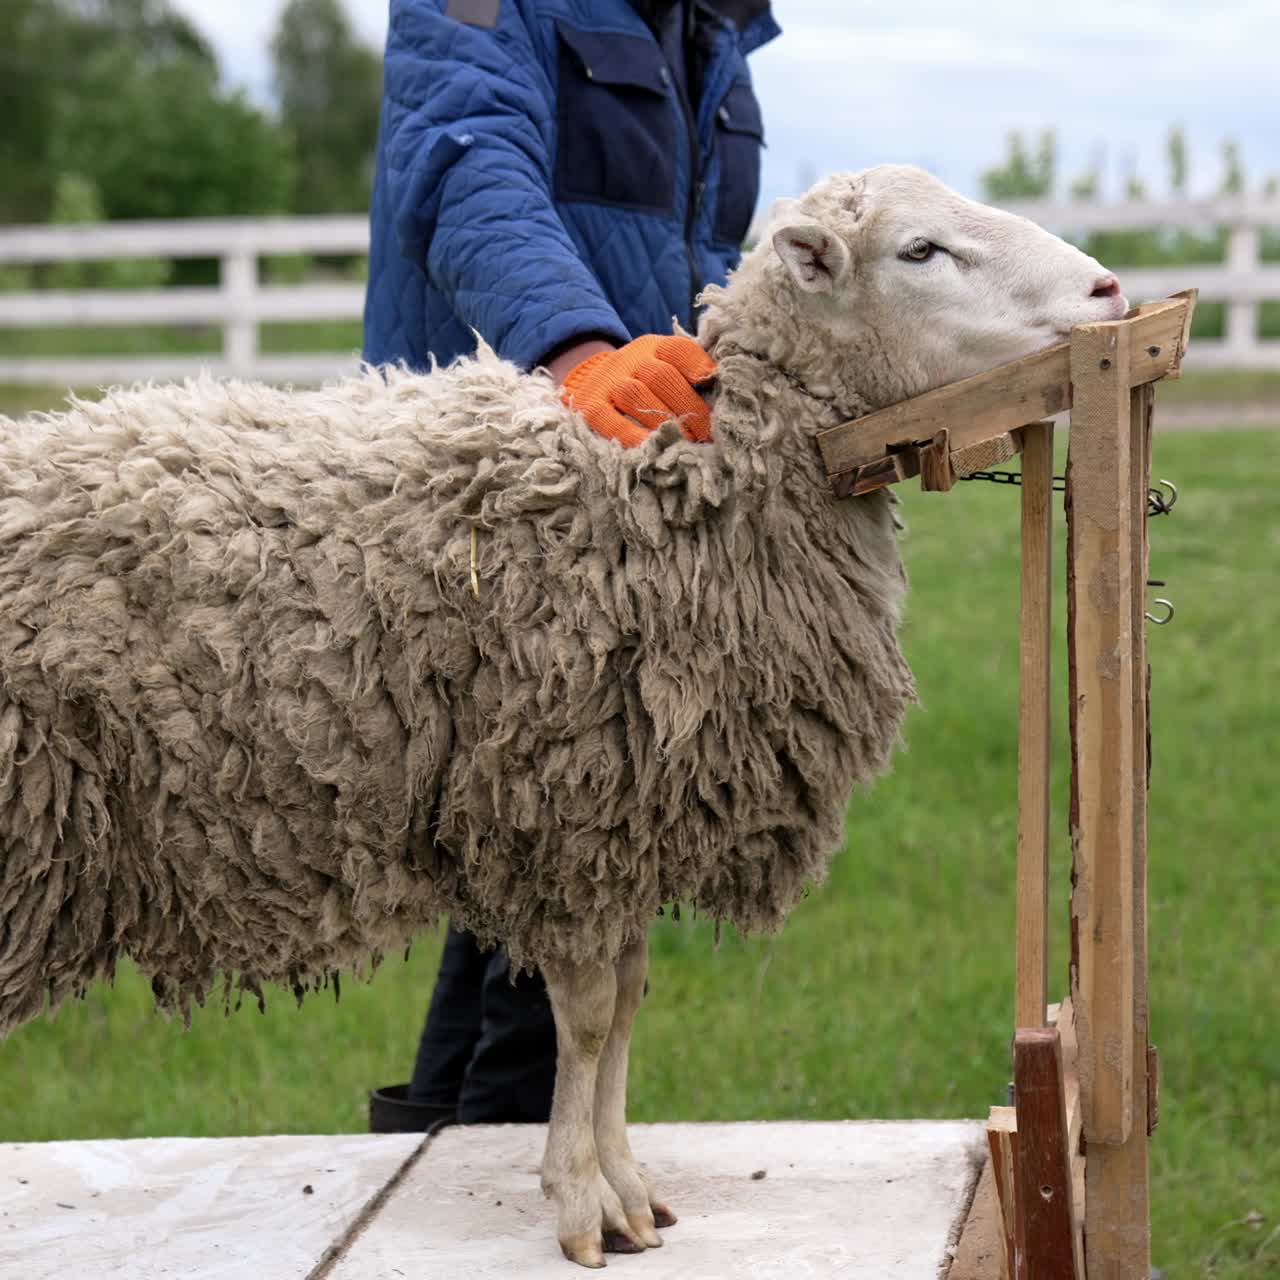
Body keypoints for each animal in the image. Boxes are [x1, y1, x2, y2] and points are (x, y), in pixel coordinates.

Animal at [0, 165, 1125, 1268]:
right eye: (919, 251)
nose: (1111, 290)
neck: (684, 474)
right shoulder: (567, 814)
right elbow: (585, 1021)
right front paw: (585, 1204)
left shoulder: (623, 821)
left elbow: (626, 1002)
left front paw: (627, 1183)